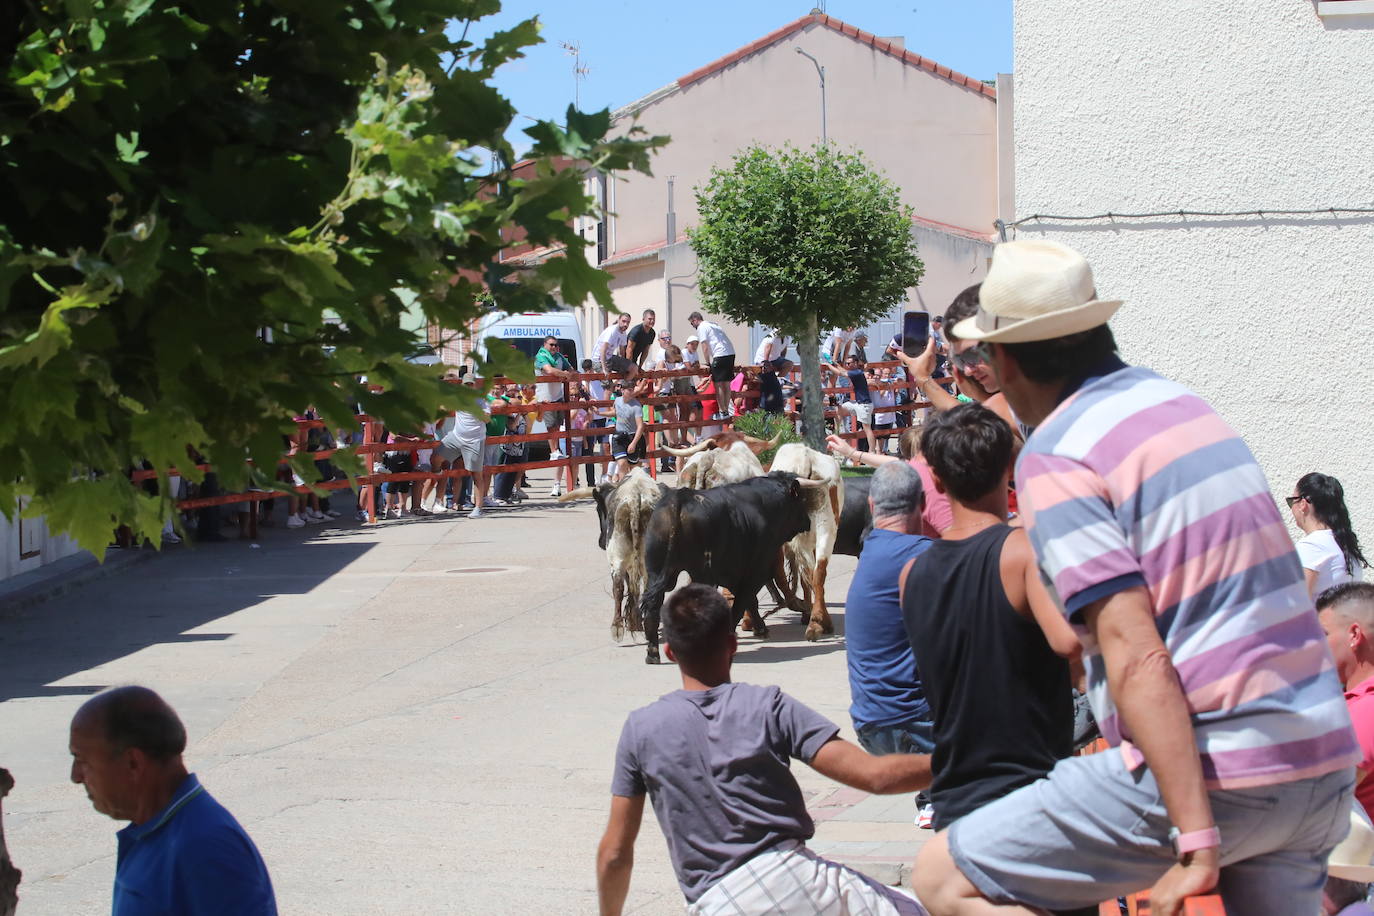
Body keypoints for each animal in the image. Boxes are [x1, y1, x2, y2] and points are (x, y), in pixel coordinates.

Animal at [555, 469, 667, 642]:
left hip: (618, 556)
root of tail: (635, 498)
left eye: (598, 510)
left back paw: (618, 627)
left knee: (619, 587)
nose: (600, 542)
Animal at [634, 472, 813, 667]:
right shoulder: (755, 570)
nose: (808, 522)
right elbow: (742, 604)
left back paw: (652, 653)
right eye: (801, 500)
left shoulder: (734, 573)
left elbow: (749, 602)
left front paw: (760, 628)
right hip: (702, 573)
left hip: (656, 571)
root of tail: (679, 498)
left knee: (653, 608)